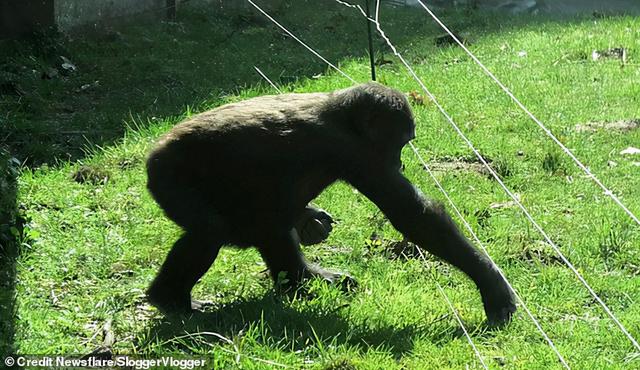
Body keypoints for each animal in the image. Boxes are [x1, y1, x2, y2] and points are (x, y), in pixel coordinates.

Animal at [145, 82, 516, 326]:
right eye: (399, 142)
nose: (399, 163)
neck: (342, 116)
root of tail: (154, 150)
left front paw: (309, 224)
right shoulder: (356, 151)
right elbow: (413, 216)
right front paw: (492, 285)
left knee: (266, 223)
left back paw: (302, 279)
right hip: (168, 176)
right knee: (209, 231)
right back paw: (171, 299)